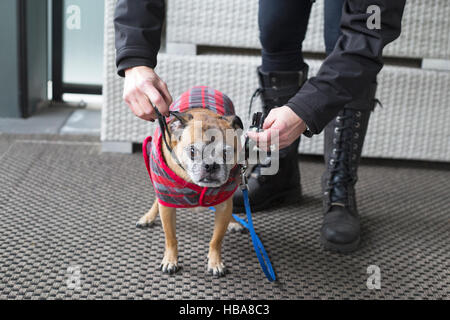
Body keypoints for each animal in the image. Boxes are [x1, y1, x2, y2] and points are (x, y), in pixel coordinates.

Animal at [139, 86, 244, 276]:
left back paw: (233, 222)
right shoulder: (167, 206)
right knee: (157, 200)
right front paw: (170, 260)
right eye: (193, 151)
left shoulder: (223, 206)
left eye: (226, 153)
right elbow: (171, 238)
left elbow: (216, 239)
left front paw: (215, 262)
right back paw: (148, 217)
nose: (211, 165)